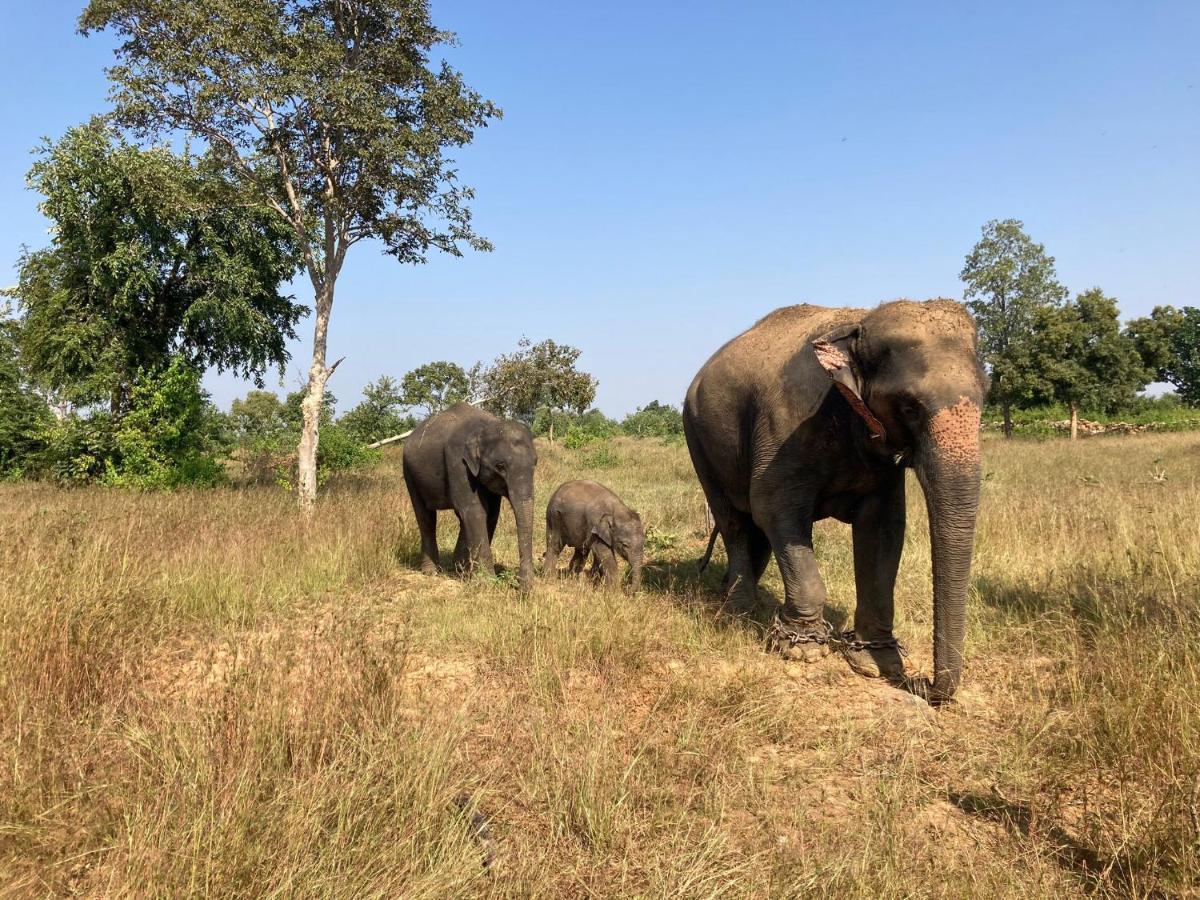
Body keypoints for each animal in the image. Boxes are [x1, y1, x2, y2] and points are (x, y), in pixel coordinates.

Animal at [400, 405, 537, 595]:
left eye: (535, 463)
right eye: (500, 466)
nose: (521, 586)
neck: (486, 426)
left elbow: (490, 513)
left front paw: (469, 575)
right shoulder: (458, 461)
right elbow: (475, 510)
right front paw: (487, 584)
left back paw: (459, 569)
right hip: (409, 472)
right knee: (425, 518)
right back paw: (431, 572)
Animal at [681, 300, 988, 700]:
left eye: (986, 397)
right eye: (909, 408)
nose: (924, 686)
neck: (857, 325)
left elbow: (884, 527)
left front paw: (877, 662)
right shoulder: (788, 424)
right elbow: (773, 506)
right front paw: (802, 649)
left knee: (754, 533)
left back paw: (739, 598)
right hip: (697, 437)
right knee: (734, 521)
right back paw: (738, 612)